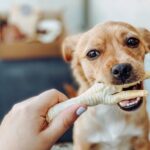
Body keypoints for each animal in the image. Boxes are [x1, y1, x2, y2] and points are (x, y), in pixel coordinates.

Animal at [62, 21, 150, 150]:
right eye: (92, 53)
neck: (112, 110)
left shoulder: (142, 141)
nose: (121, 69)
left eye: (132, 41)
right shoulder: (82, 144)